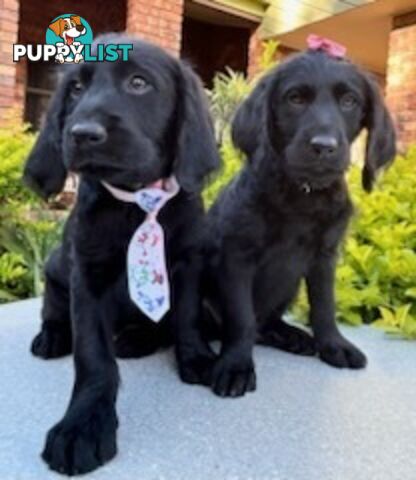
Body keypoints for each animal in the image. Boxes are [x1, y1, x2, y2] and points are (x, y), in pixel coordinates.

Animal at [23, 34, 218, 476]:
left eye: (138, 83)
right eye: (75, 88)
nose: (82, 133)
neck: (137, 202)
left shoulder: (188, 263)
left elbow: (187, 317)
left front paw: (196, 357)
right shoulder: (87, 277)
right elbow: (94, 357)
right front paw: (83, 427)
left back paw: (137, 338)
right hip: (55, 268)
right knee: (53, 309)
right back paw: (52, 336)